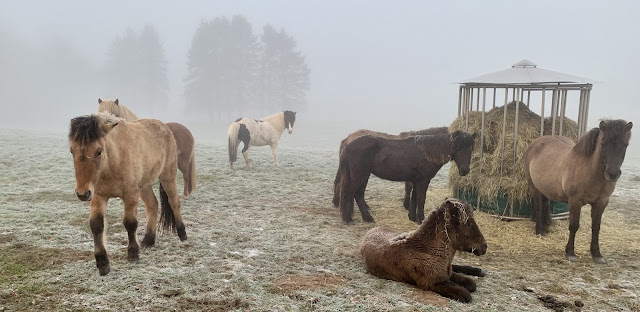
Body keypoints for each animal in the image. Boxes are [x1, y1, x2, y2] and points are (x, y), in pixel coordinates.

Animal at [338, 130, 478, 224]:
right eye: (457, 147)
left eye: (471, 148)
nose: (464, 170)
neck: (427, 152)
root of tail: (348, 146)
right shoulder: (423, 180)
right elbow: (421, 199)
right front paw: (421, 220)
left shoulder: (416, 180)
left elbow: (414, 197)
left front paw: (412, 217)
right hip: (360, 175)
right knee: (349, 194)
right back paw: (348, 219)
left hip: (364, 176)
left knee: (358, 195)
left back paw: (367, 218)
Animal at [524, 119, 632, 264]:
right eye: (603, 143)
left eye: (625, 145)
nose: (613, 174)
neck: (591, 171)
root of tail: (536, 142)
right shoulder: (575, 201)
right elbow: (574, 225)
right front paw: (570, 252)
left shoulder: (601, 203)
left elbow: (596, 227)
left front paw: (597, 254)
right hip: (534, 187)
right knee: (539, 206)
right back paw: (539, 231)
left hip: (545, 188)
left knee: (545, 203)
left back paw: (546, 227)